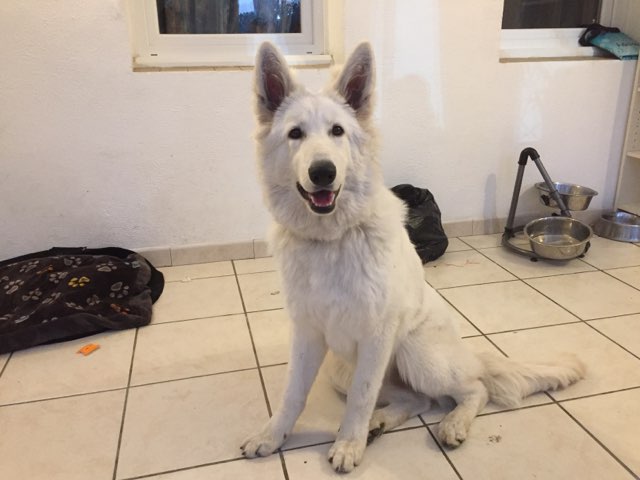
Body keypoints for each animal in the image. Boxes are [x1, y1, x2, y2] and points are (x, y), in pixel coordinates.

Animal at [241, 42, 584, 472]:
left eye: (337, 131)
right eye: (295, 134)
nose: (323, 173)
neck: (332, 239)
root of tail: (469, 354)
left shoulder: (377, 336)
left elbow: (361, 399)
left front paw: (348, 444)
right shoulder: (307, 334)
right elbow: (292, 395)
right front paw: (272, 437)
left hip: (415, 356)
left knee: (473, 389)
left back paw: (450, 423)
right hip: (341, 369)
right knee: (417, 399)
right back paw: (380, 423)